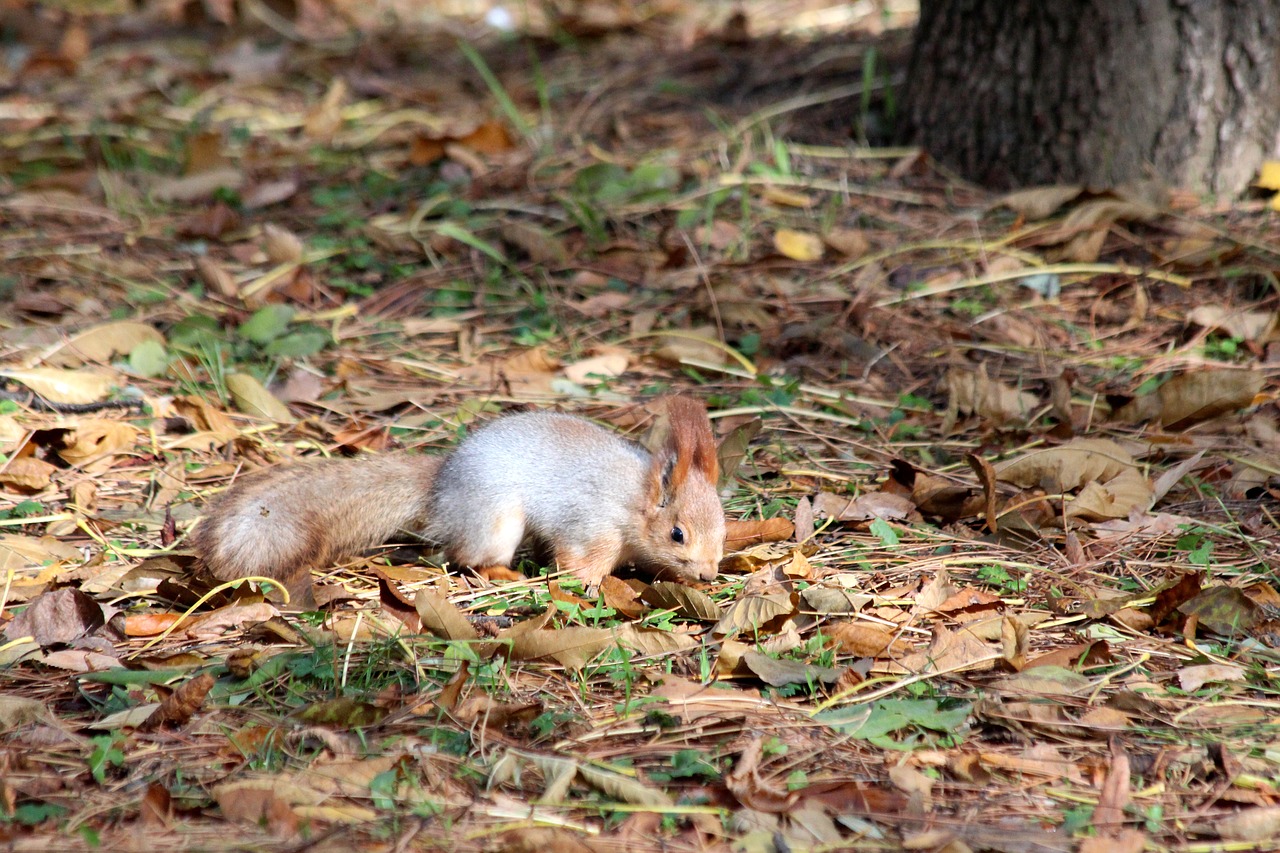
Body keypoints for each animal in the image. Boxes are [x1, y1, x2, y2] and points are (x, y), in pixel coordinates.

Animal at [193, 394, 727, 604]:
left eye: (723, 530)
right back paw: (506, 574)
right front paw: (592, 587)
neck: (635, 500)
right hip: (494, 521)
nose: (708, 574)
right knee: (468, 557)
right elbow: (577, 563)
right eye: (677, 533)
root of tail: (442, 483)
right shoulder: (591, 527)